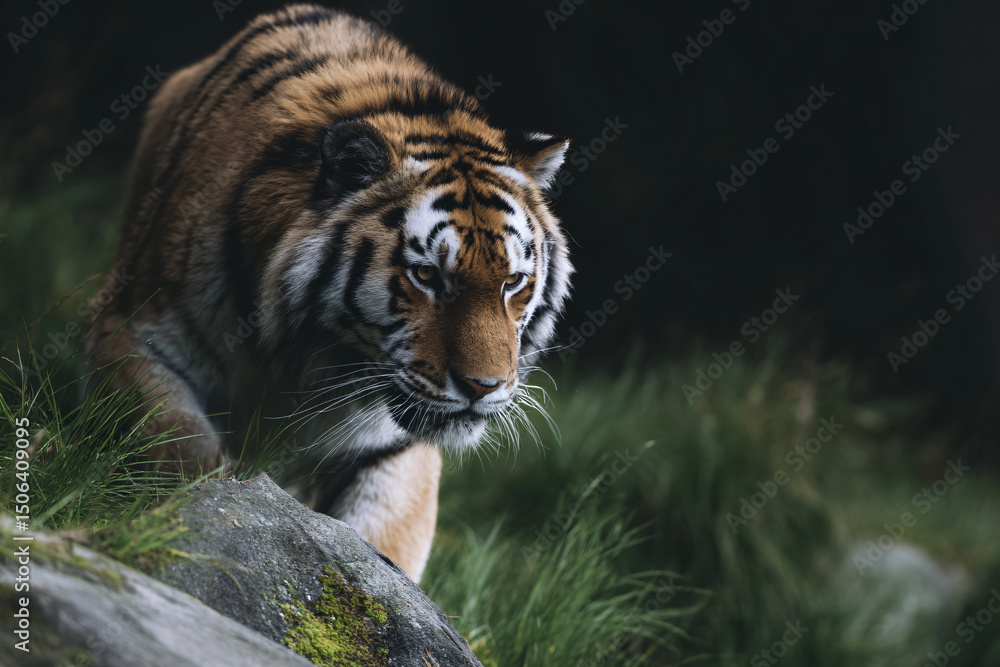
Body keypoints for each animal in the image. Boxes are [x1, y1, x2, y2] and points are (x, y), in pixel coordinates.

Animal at [83, 3, 572, 583]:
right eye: (427, 276)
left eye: (512, 282)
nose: (484, 387)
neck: (306, 362)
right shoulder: (127, 332)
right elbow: (183, 452)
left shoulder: (397, 447)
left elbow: (382, 544)